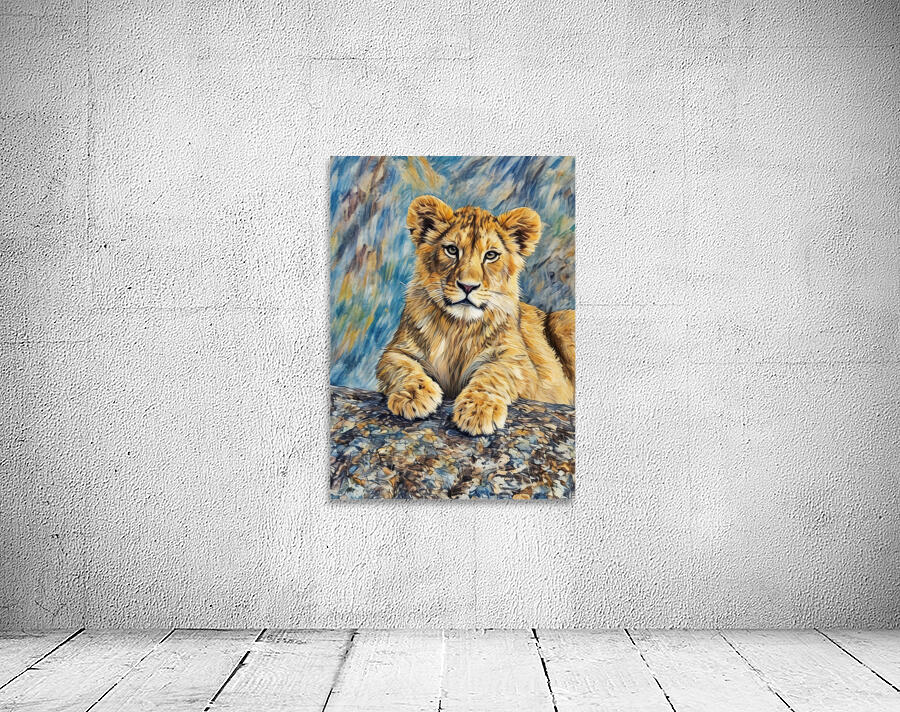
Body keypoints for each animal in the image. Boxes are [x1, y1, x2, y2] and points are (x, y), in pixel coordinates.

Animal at [375, 195, 574, 436]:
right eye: (452, 250)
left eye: (491, 255)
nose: (468, 286)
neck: (457, 327)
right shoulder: (395, 351)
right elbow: (403, 368)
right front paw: (414, 396)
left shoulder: (521, 364)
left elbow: (493, 374)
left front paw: (479, 410)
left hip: (562, 320)